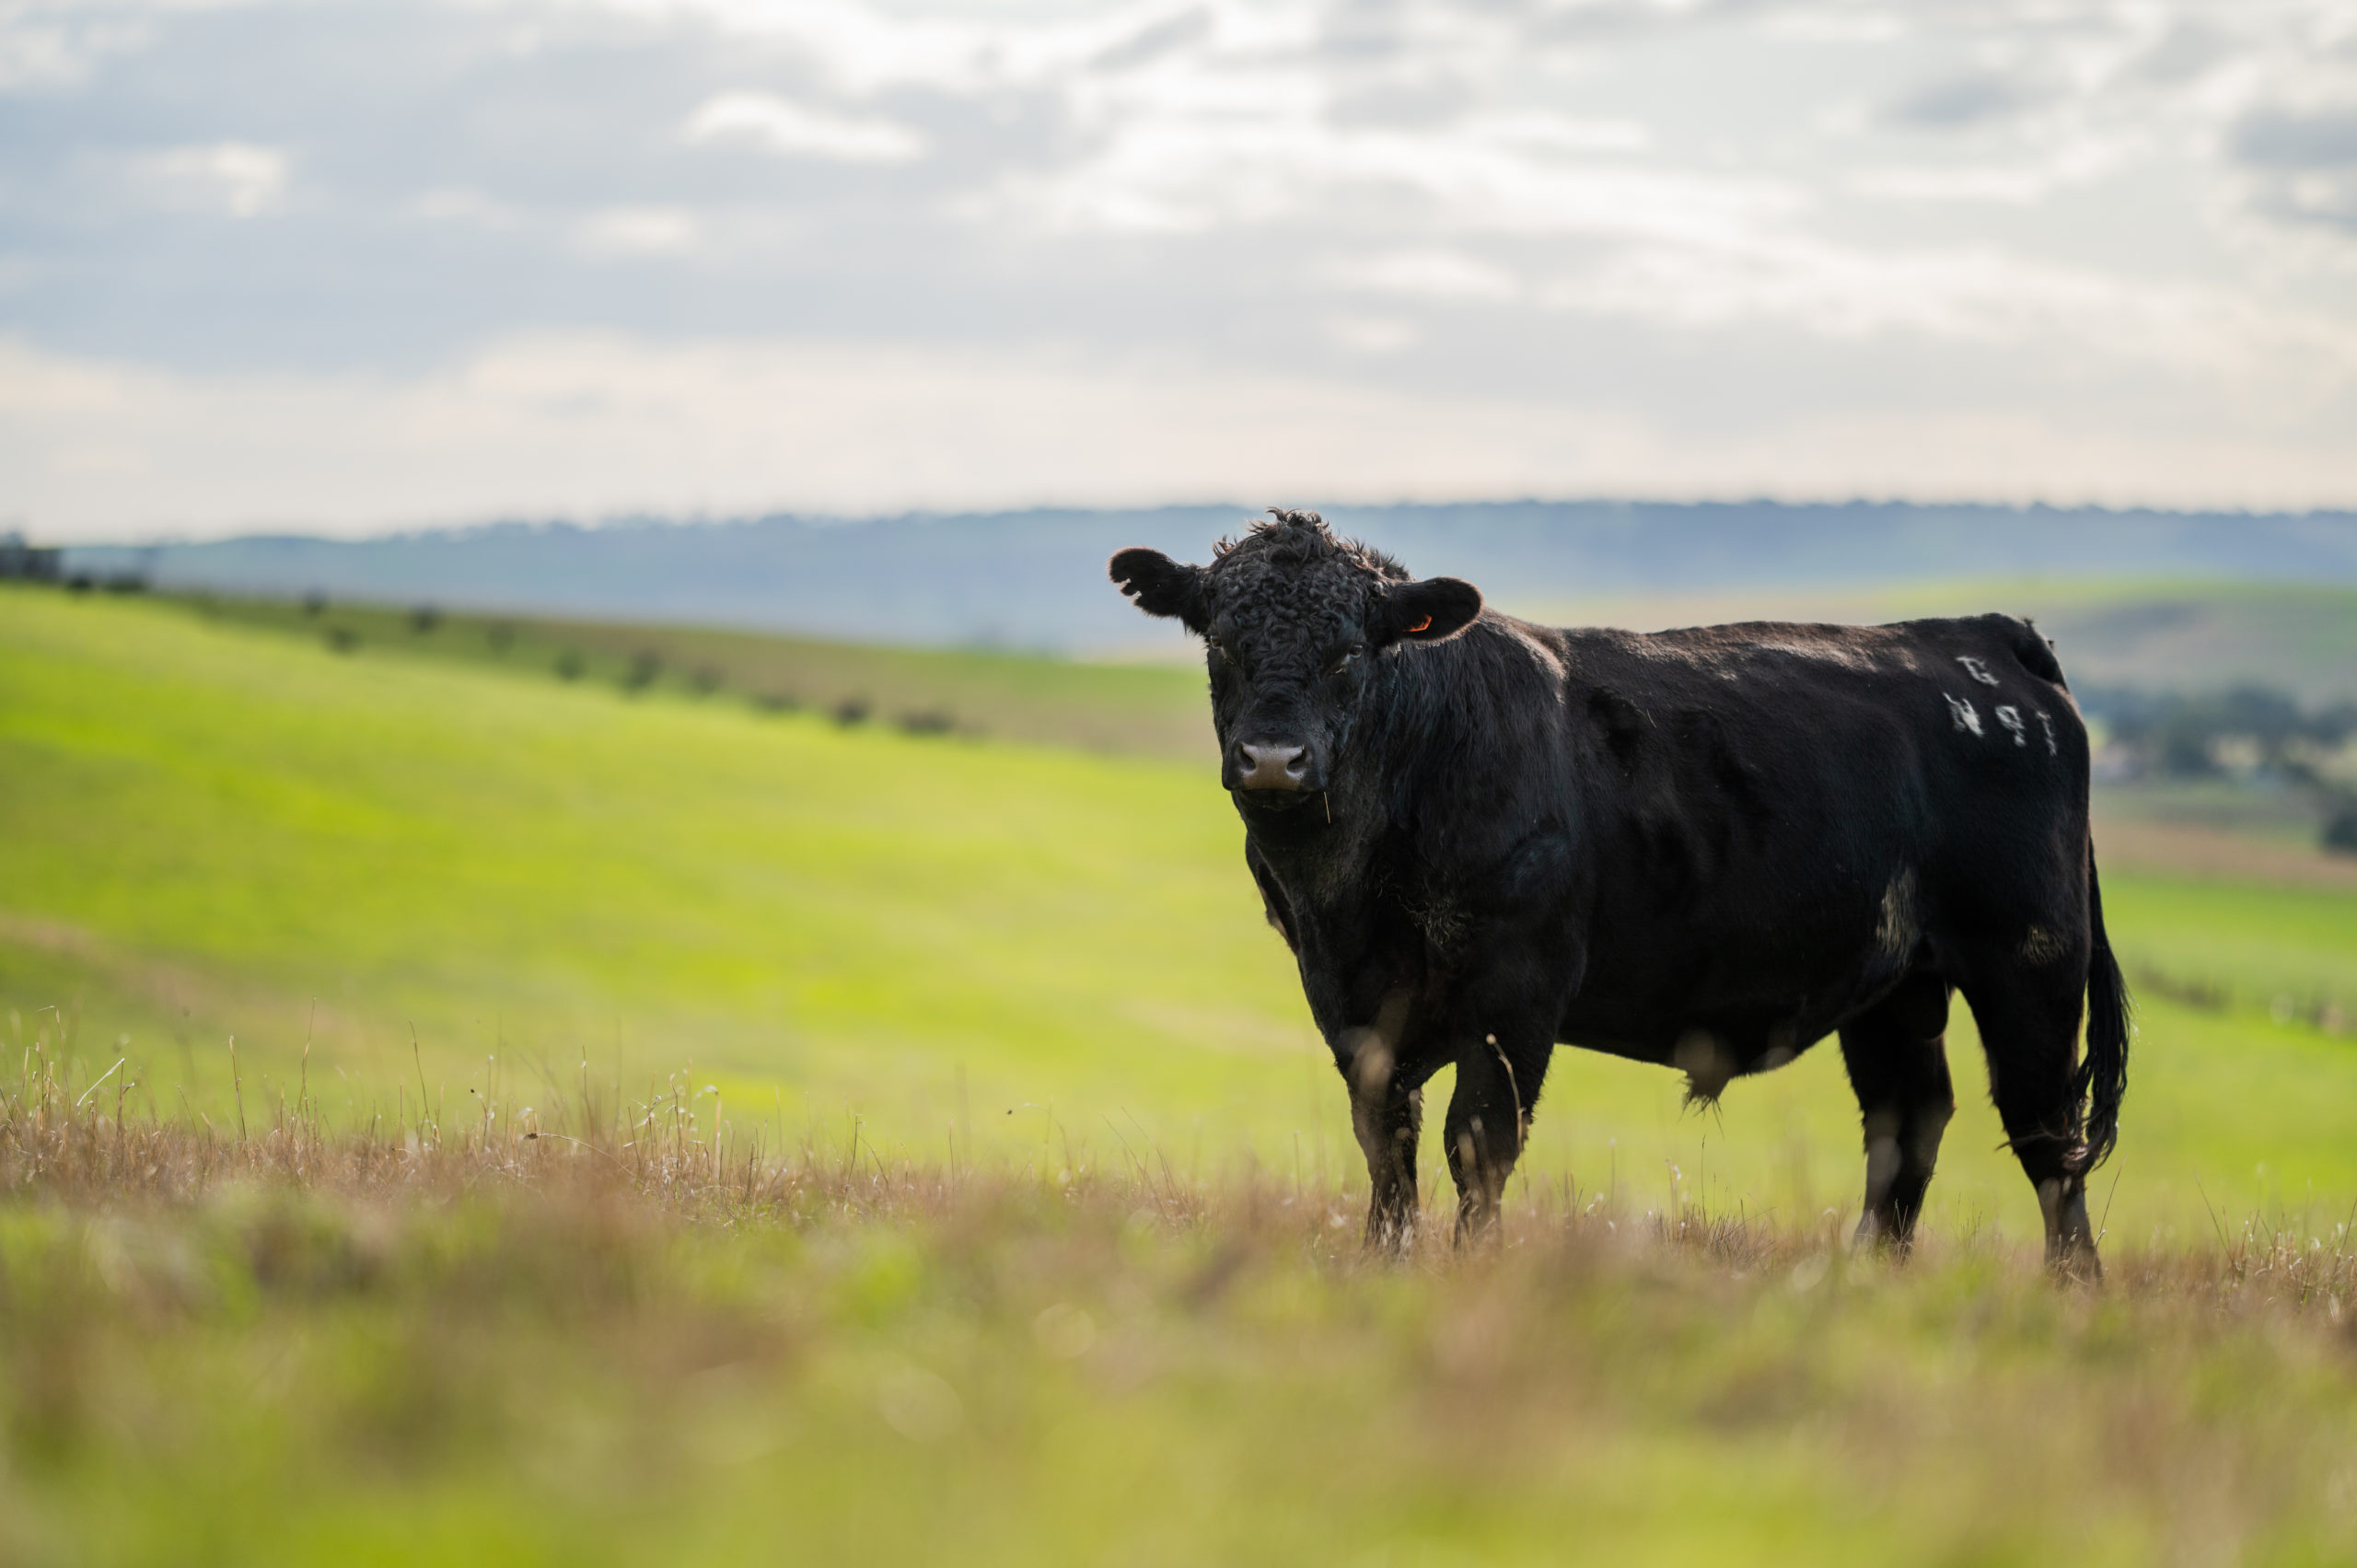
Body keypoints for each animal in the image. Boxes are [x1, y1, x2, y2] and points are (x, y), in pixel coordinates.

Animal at [1112, 514, 2131, 1272]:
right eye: (1221, 643)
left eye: (1349, 652)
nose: (1272, 759)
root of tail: (1976, 633)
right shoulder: (1350, 1000)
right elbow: (1386, 1141)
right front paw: (1383, 1259)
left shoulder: (1516, 990)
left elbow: (1477, 1142)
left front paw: (1467, 1272)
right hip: (1896, 985)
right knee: (1906, 1122)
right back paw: (1865, 1275)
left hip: (2030, 961)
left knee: (2046, 1130)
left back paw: (2072, 1291)